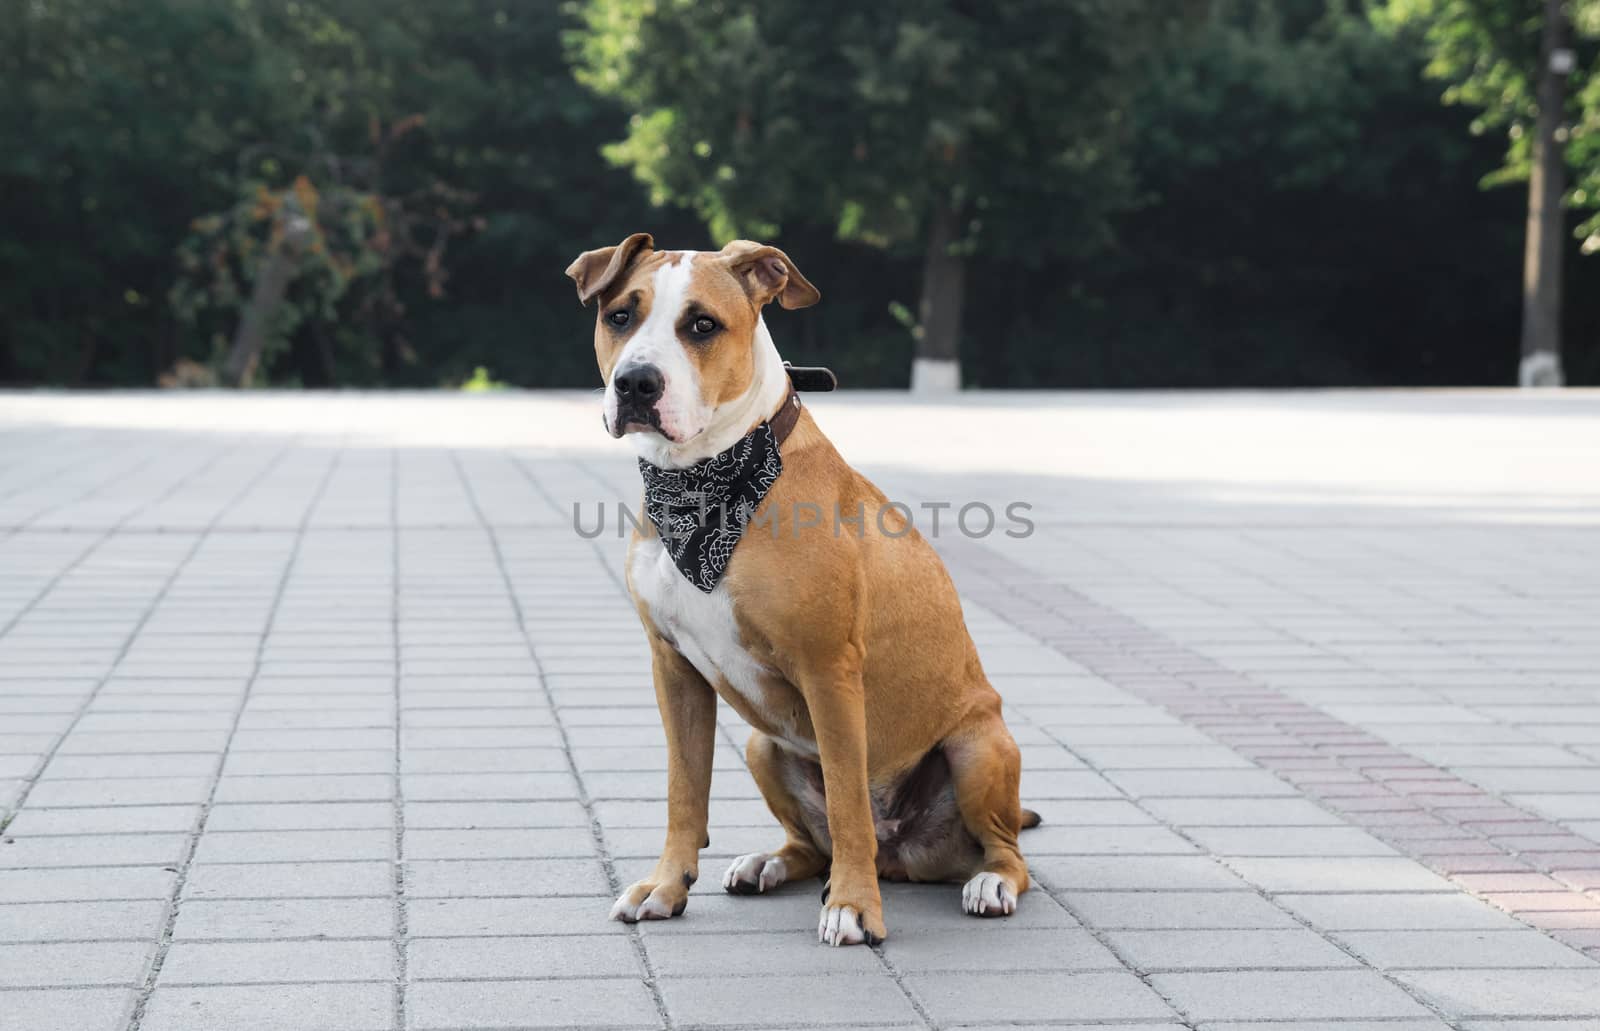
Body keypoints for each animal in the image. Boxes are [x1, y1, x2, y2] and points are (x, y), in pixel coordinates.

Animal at [563, 236, 1036, 947]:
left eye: (702, 325)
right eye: (620, 315)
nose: (637, 383)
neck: (703, 479)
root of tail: (906, 856)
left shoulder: (828, 670)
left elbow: (846, 800)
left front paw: (853, 907)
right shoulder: (673, 667)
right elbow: (683, 789)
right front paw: (666, 887)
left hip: (978, 745)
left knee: (1004, 850)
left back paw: (988, 883)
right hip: (764, 746)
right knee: (812, 843)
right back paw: (770, 862)